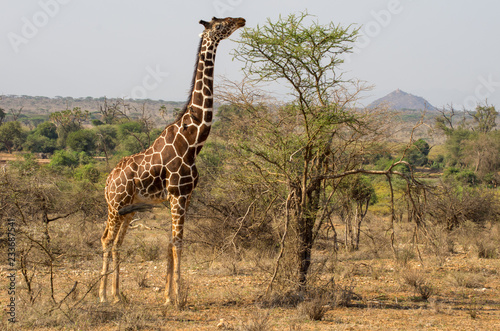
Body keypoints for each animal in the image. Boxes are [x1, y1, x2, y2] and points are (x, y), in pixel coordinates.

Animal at [98, 16, 245, 304]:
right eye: (220, 24)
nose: (241, 20)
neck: (192, 141)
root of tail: (108, 181)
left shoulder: (184, 196)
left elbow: (169, 242)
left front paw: (167, 296)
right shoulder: (177, 193)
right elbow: (178, 242)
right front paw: (177, 299)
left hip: (128, 208)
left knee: (116, 241)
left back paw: (118, 294)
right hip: (115, 204)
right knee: (107, 239)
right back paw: (101, 296)